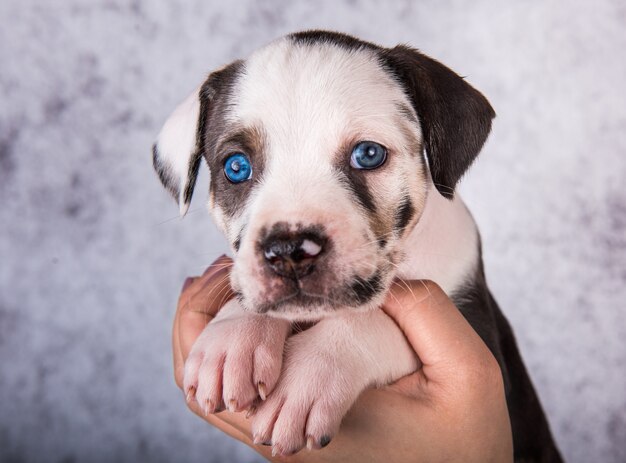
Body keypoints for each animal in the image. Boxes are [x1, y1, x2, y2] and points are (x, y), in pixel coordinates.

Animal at [151, 30, 560, 462]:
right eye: (236, 167)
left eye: (368, 154)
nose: (289, 251)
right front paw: (233, 337)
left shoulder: (483, 343)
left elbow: (374, 320)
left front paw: (315, 369)